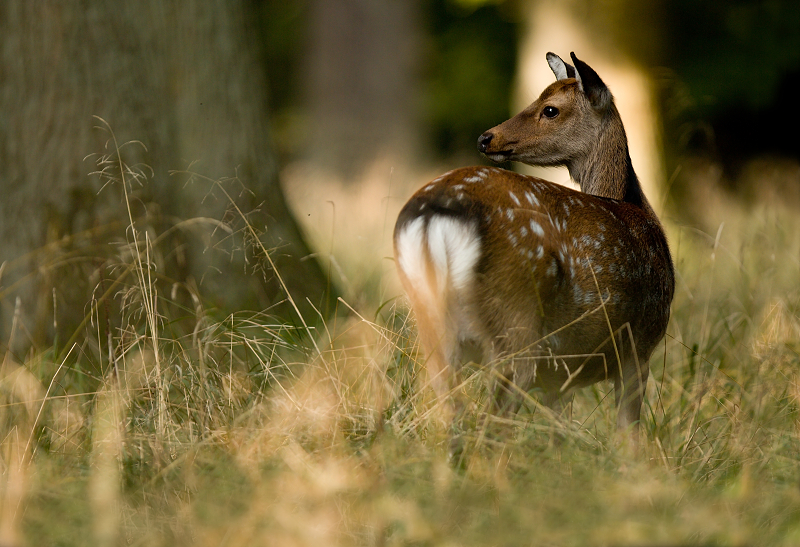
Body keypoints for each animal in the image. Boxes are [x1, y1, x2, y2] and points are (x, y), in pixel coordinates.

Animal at [394, 51, 676, 440]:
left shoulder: (562, 375)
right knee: (489, 426)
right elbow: (628, 436)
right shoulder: (640, 345)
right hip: (517, 326)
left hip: (429, 320)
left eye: (550, 109)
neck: (636, 208)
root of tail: (436, 214)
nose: (486, 138)